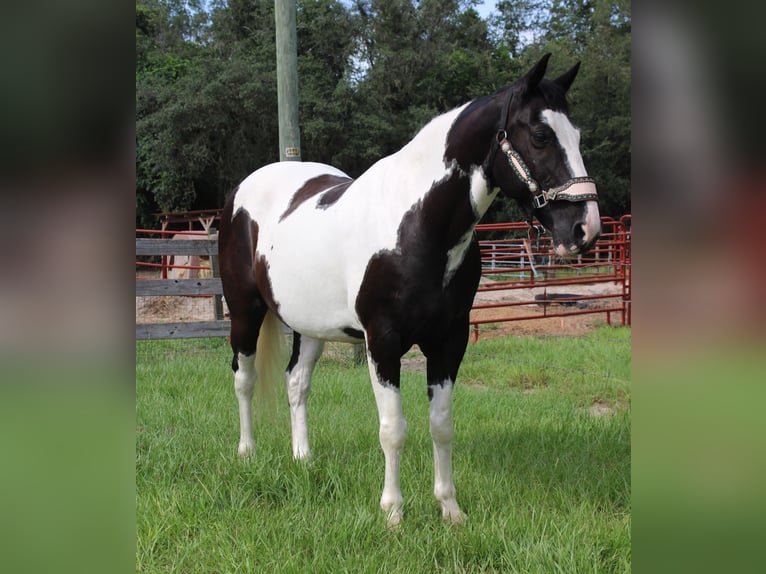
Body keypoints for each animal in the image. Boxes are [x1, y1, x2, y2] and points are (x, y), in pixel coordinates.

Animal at [218, 54, 601, 527]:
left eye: (577, 136)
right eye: (541, 136)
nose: (586, 228)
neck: (416, 225)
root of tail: (244, 188)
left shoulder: (449, 340)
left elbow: (441, 425)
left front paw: (450, 510)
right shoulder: (382, 341)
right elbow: (393, 430)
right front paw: (393, 514)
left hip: (309, 327)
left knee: (296, 383)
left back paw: (303, 459)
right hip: (244, 312)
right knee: (245, 379)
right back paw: (247, 453)